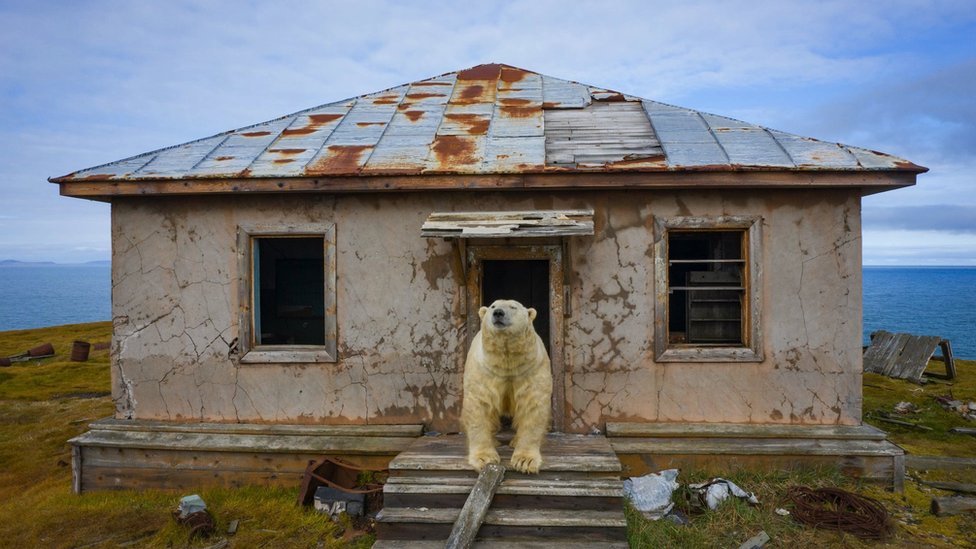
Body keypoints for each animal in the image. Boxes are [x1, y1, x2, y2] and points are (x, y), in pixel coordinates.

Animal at [461, 299, 553, 474]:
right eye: (493, 306)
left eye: (513, 307)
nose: (498, 313)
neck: (507, 361)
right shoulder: (484, 370)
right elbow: (479, 406)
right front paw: (484, 458)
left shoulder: (531, 368)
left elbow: (532, 406)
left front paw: (525, 461)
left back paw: (515, 441)